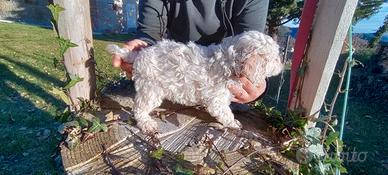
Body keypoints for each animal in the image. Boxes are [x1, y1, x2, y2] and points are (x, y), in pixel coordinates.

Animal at [107, 30, 284, 134]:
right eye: (275, 58)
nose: (282, 65)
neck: (228, 61)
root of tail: (139, 54)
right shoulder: (217, 100)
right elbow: (225, 113)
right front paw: (233, 123)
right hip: (151, 89)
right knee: (139, 108)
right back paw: (146, 123)